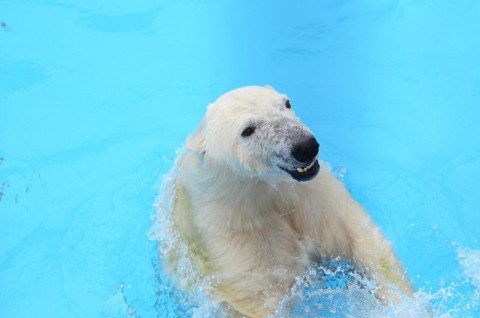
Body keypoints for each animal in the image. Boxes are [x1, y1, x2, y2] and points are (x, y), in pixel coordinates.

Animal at [166, 85, 412, 316]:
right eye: (248, 130)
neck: (259, 188)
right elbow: (258, 295)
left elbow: (366, 243)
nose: (305, 146)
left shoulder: (310, 194)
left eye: (286, 103)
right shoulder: (232, 226)